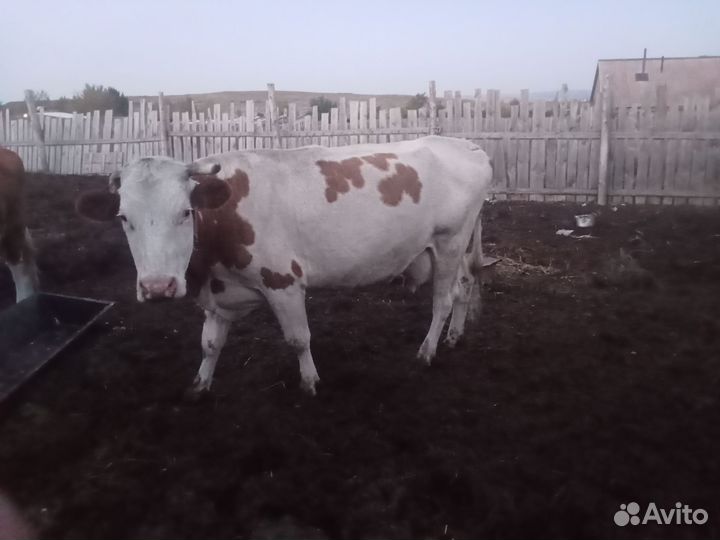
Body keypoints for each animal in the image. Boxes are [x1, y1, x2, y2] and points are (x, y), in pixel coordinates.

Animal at [76, 136, 493, 395]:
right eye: (123, 218)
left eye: (185, 212)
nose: (157, 287)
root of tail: (467, 145)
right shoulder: (219, 292)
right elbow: (209, 344)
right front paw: (199, 384)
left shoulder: (283, 282)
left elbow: (298, 339)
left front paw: (309, 382)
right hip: (457, 244)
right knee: (465, 286)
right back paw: (454, 336)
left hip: (449, 241)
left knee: (443, 299)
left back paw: (427, 352)